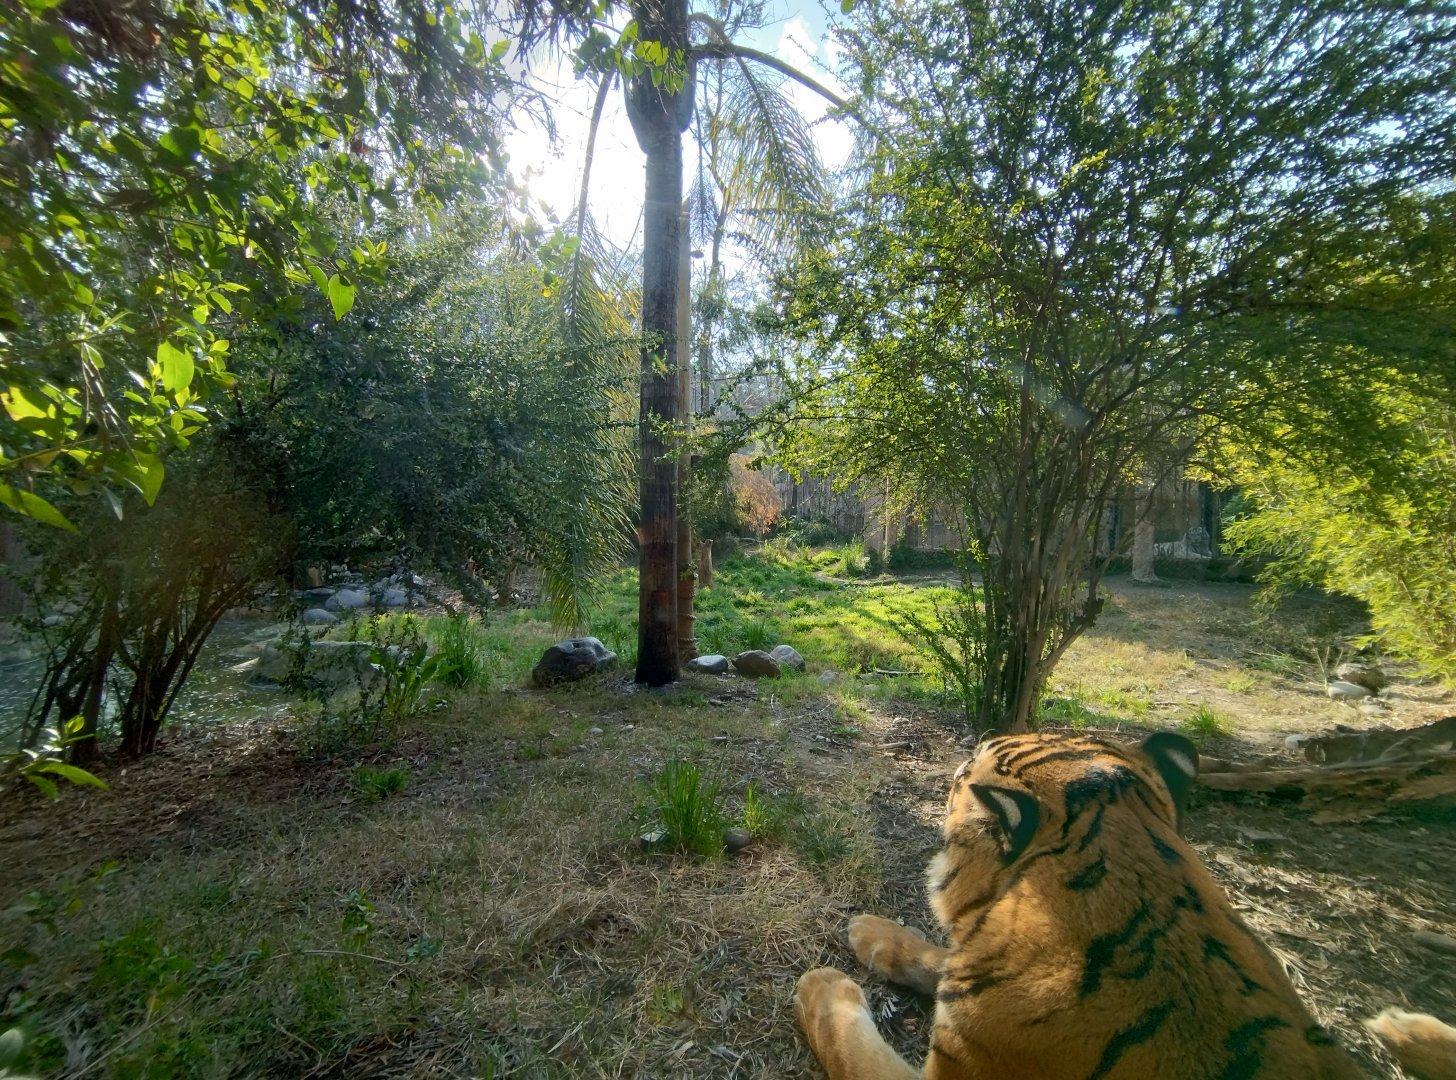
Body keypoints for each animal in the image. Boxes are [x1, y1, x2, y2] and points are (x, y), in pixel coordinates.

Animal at [795, 730, 1456, 1080]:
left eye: (962, 777)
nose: (955, 765)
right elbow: (936, 957)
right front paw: (870, 932)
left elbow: (851, 1047)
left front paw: (820, 986)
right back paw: (1402, 1028)